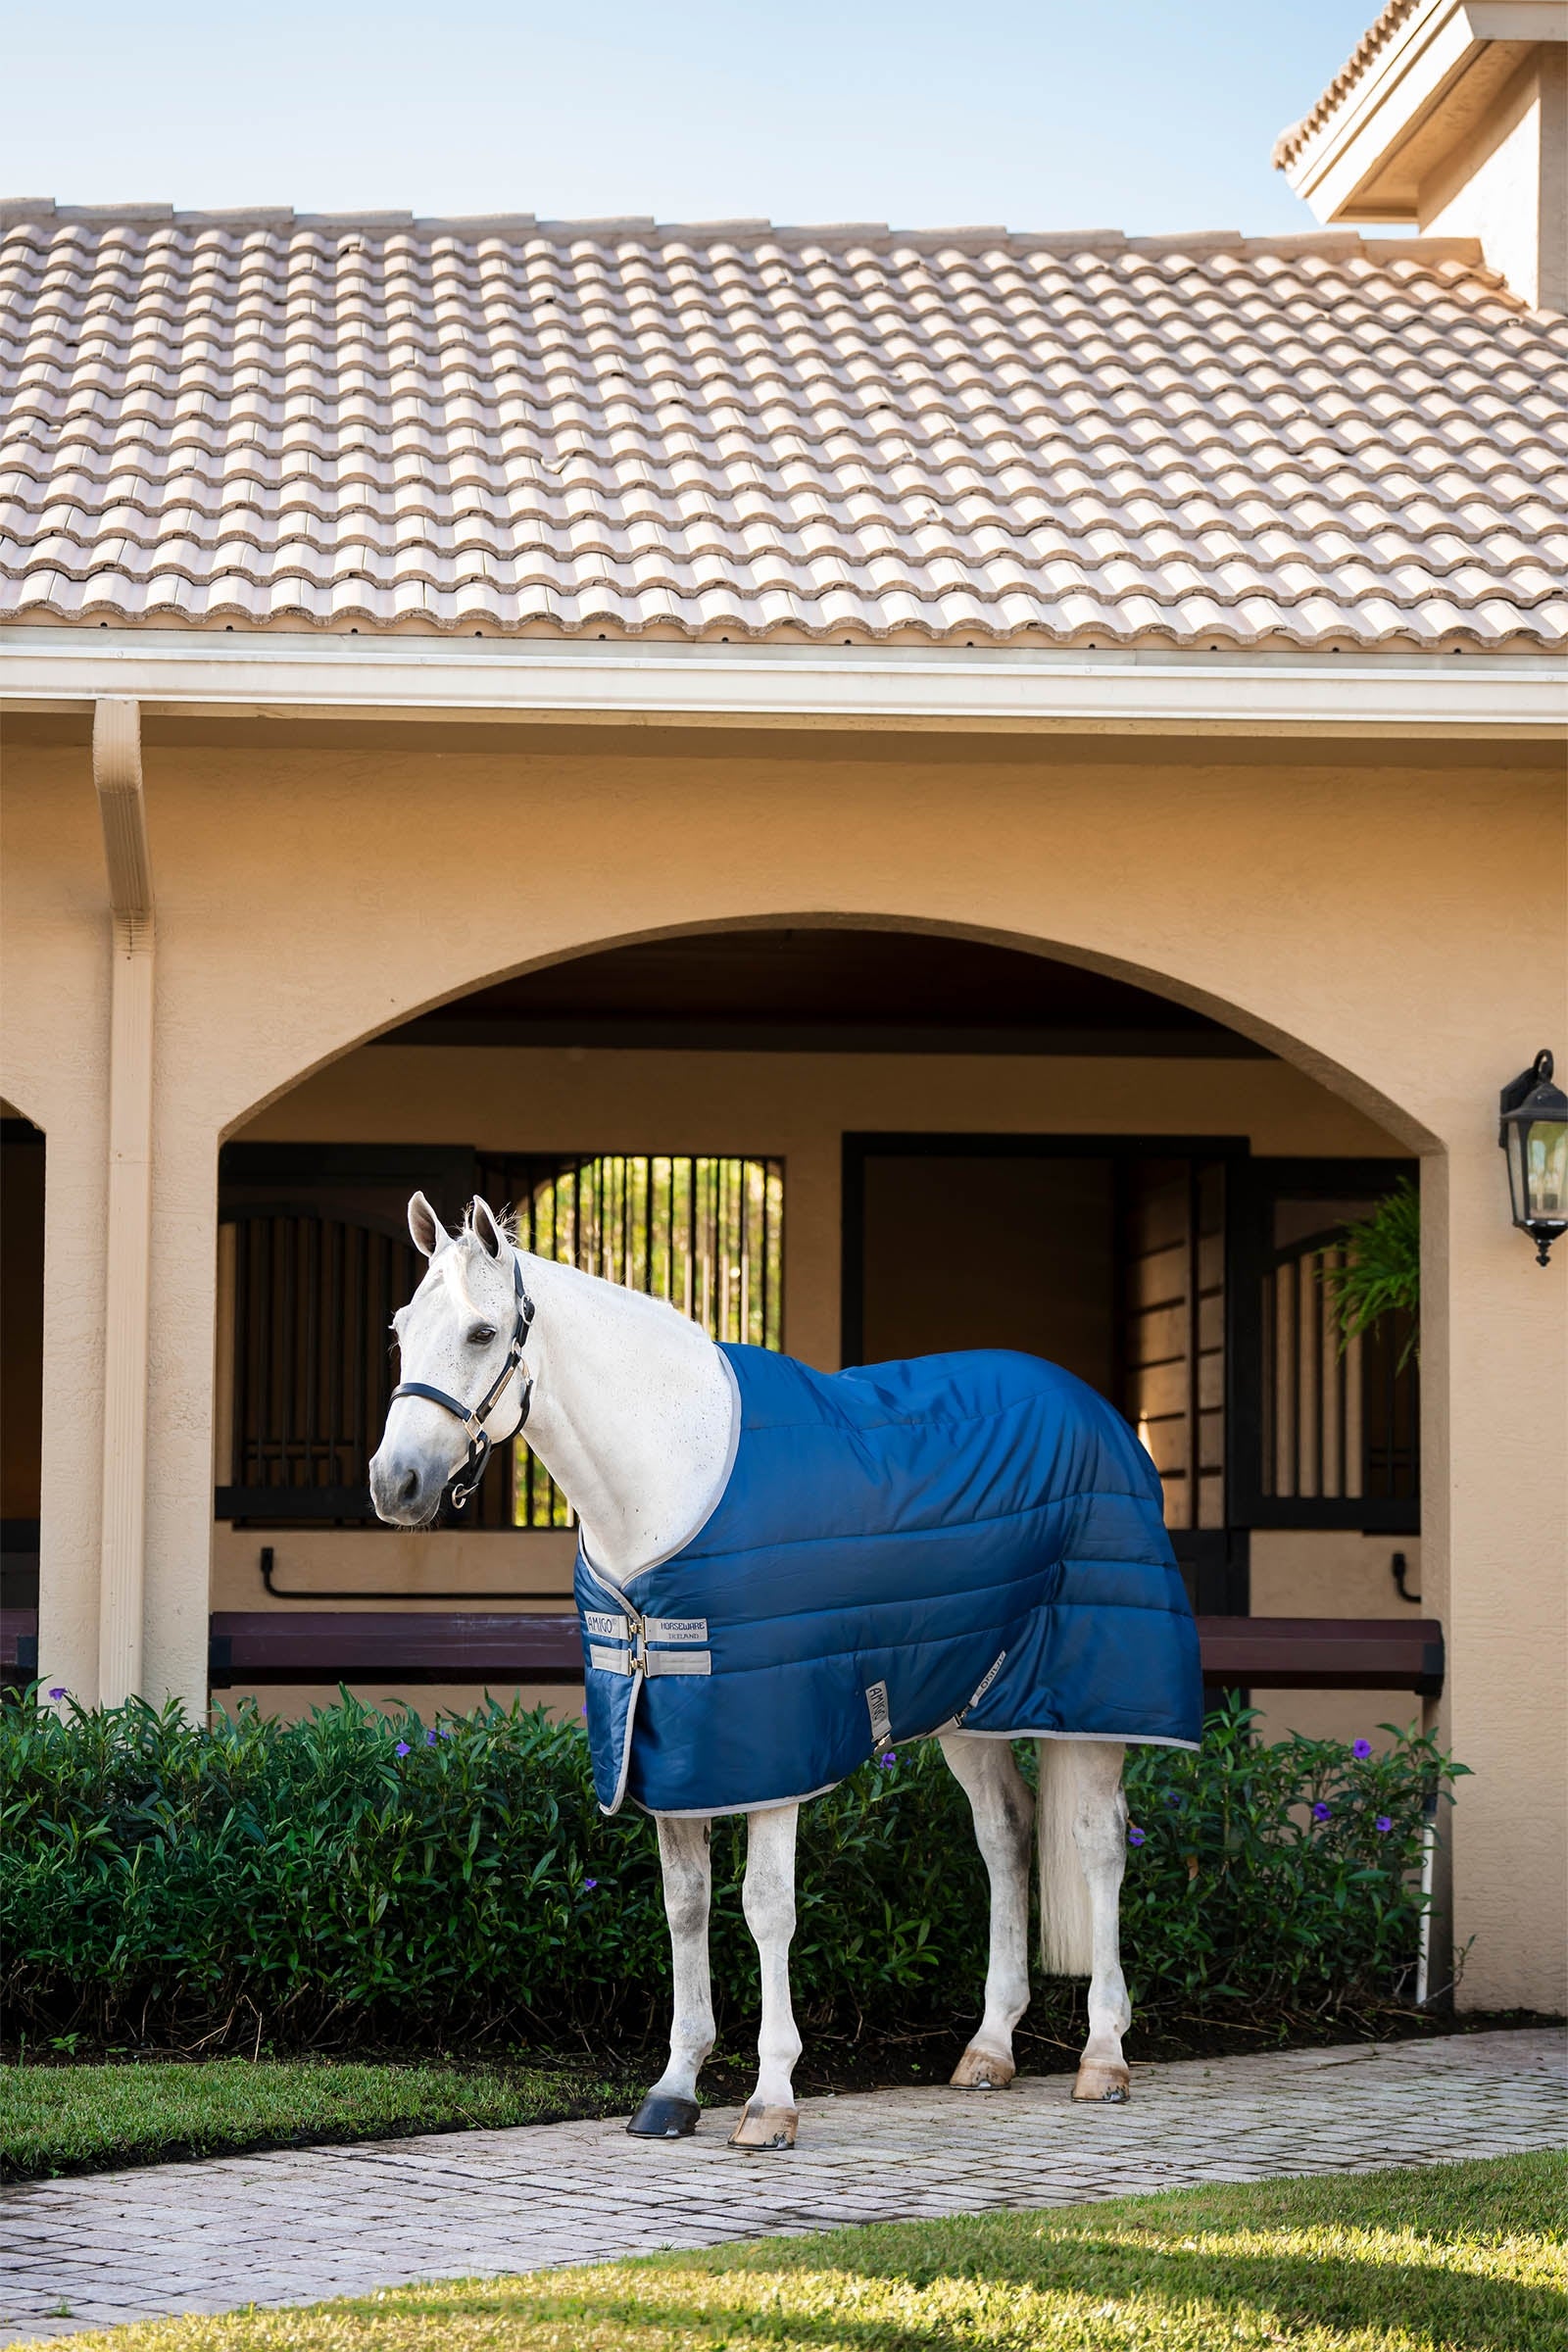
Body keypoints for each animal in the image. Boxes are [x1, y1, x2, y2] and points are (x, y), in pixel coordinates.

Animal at [369, 1193, 1201, 2147]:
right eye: (401, 1330)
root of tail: (1099, 1411)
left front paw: (770, 2101)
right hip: (972, 1703)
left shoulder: (771, 1749)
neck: (670, 1475)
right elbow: (685, 1905)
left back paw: (1104, 2056)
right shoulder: (670, 1746)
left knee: (1098, 1844)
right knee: (1006, 1835)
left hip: (1096, 1702)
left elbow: (766, 1907)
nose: (394, 1484)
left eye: (480, 1332)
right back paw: (989, 2048)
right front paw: (674, 2088)